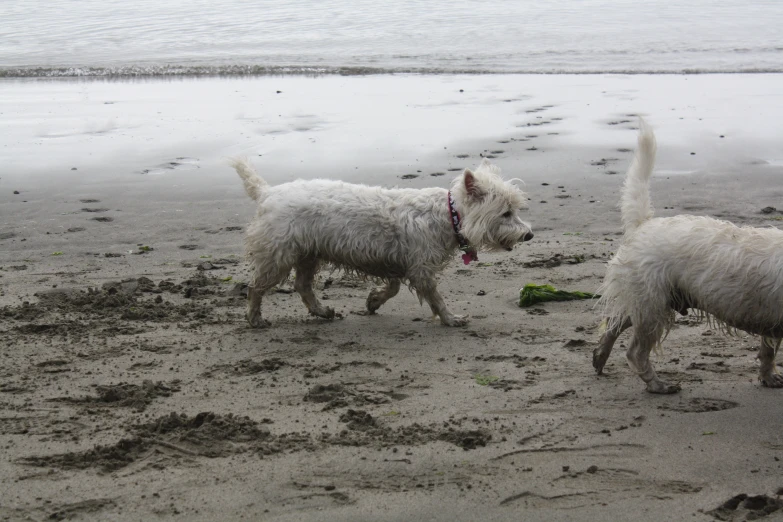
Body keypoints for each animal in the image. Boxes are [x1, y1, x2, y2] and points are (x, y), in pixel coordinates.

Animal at [227, 160, 532, 328]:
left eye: (514, 210)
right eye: (506, 213)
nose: (528, 235)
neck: (449, 215)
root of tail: (267, 193)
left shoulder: (393, 259)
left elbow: (393, 287)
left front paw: (373, 301)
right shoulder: (420, 267)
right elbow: (435, 298)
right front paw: (450, 318)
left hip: (309, 253)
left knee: (302, 285)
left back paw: (323, 311)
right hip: (279, 255)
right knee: (256, 287)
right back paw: (255, 319)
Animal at [596, 118, 783, 392]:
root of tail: (643, 225)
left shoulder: (773, 323)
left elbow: (768, 351)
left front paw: (768, 377)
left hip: (650, 302)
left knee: (615, 322)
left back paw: (599, 357)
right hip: (653, 305)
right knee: (636, 352)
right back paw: (658, 385)